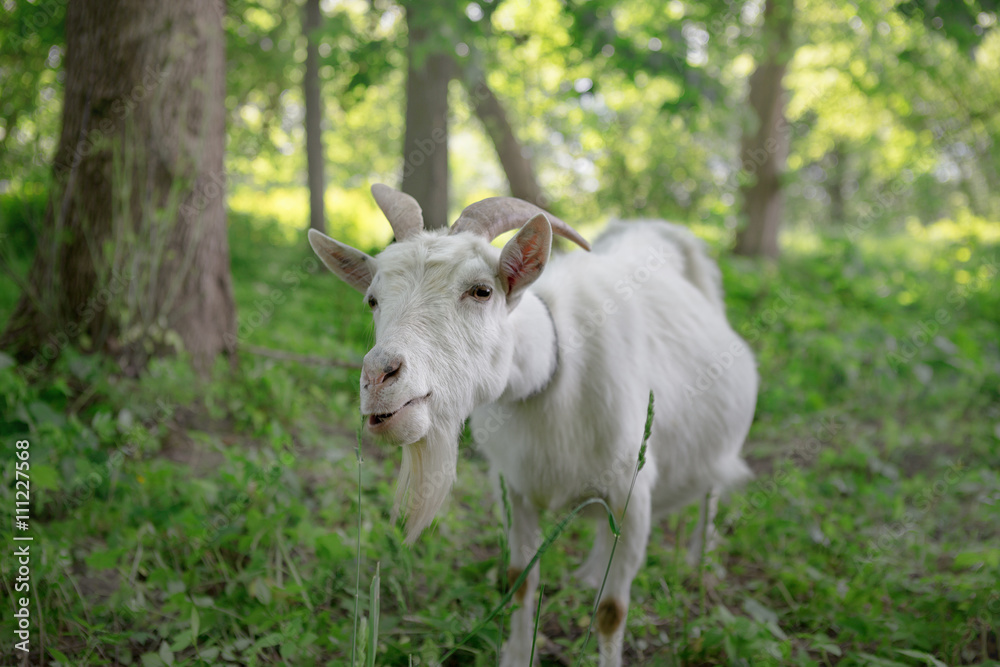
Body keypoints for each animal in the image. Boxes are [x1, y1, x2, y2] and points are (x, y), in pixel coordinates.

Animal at [308, 184, 752, 667]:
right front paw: (517, 655)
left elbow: (611, 612)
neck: (552, 369)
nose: (378, 377)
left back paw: (700, 561)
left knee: (711, 490)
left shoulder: (633, 496)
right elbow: (520, 581)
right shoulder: (514, 489)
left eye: (481, 291)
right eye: (373, 300)